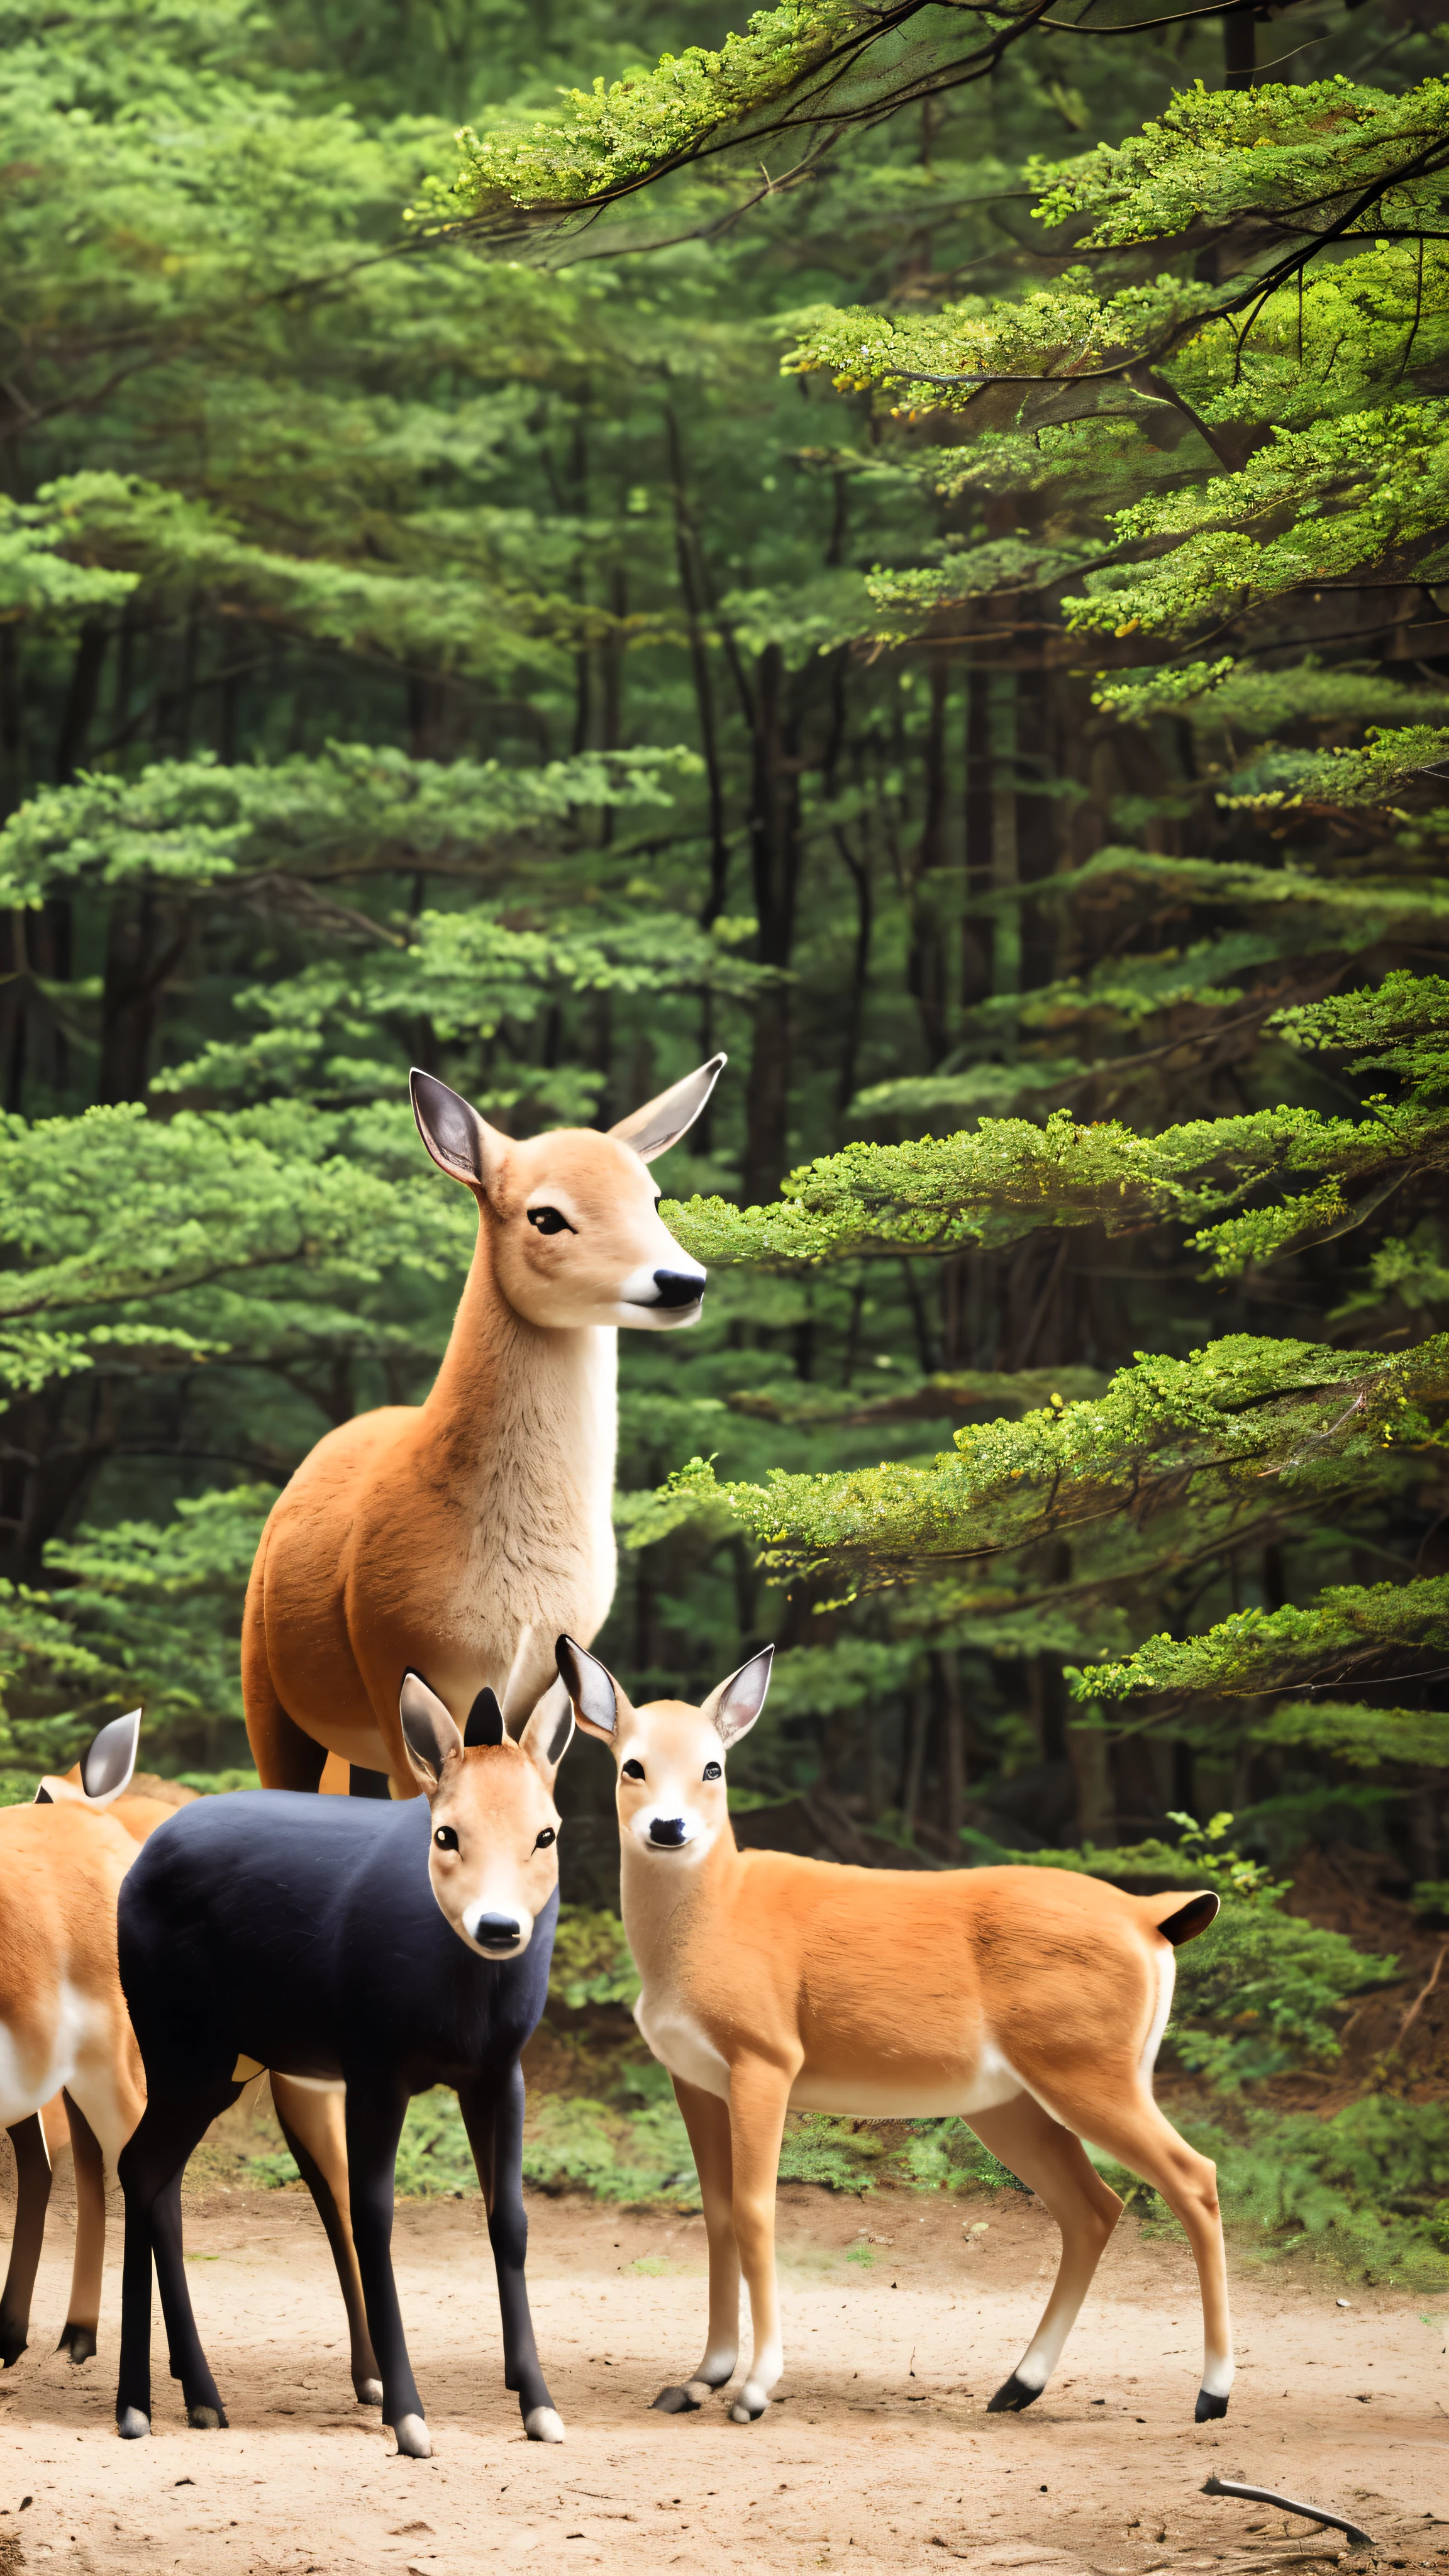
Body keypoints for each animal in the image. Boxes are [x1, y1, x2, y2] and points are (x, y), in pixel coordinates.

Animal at [111, 1669, 570, 2452]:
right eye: (446, 1833)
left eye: (546, 1833)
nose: (499, 1926)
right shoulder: (373, 2065)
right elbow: (373, 2214)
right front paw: (409, 2416)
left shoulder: (498, 2070)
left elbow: (509, 2218)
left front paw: (538, 2404)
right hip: (184, 2047)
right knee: (139, 2167)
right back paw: (138, 2405)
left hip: (218, 2068)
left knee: (159, 2183)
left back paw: (199, 2396)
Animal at [552, 1638, 1227, 2421]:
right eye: (631, 1764)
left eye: (713, 1766)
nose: (669, 1828)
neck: (712, 1922)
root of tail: (1151, 1919)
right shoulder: (693, 2075)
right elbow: (716, 2212)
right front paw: (700, 2377)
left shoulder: (767, 2054)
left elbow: (756, 2211)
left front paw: (754, 2388)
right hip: (1012, 2100)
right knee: (1095, 2207)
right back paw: (1017, 2386)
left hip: (1091, 2066)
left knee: (1194, 2176)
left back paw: (1213, 2393)